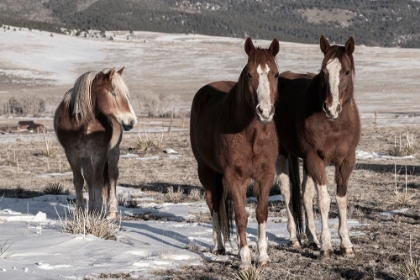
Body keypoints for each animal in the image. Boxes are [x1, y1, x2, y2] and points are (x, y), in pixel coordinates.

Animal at [54, 68, 136, 219]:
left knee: (112, 175)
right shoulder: (72, 154)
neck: (82, 124)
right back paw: (91, 208)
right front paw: (81, 211)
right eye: (114, 93)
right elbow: (79, 180)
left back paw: (111, 211)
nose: (131, 121)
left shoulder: (100, 153)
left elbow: (98, 180)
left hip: (113, 151)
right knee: (88, 177)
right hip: (85, 156)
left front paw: (98, 210)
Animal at [190, 38, 278, 268]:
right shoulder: (234, 176)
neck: (251, 134)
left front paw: (262, 256)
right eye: (250, 74)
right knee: (213, 204)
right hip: (206, 171)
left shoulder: (265, 174)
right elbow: (240, 216)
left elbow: (261, 212)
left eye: (275, 74)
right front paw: (245, 259)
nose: (265, 112)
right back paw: (219, 246)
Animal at [276, 36, 360, 260]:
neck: (334, 125)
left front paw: (346, 244)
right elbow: (324, 200)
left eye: (346, 71)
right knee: (287, 192)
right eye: (324, 71)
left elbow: (341, 199)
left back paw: (312, 238)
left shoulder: (346, 161)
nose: (331, 108)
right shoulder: (316, 159)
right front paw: (327, 246)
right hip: (283, 154)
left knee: (305, 195)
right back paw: (295, 239)